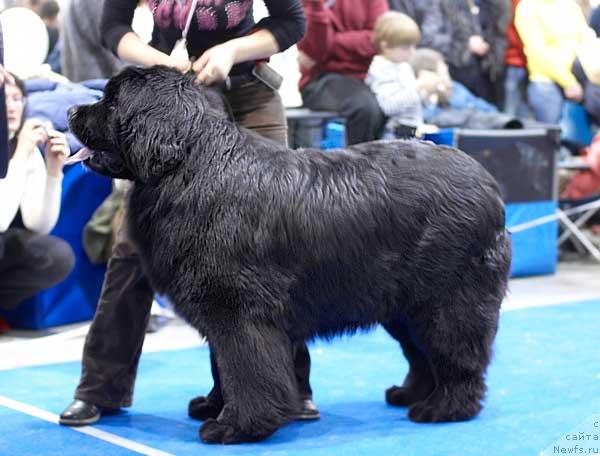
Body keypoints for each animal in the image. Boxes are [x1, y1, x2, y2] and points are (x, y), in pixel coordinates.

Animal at [69, 66, 510, 444]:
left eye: (111, 101)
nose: (72, 111)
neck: (187, 166)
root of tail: (487, 182)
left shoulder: (239, 312)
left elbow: (244, 368)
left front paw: (236, 426)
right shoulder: (218, 308)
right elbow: (221, 365)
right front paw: (213, 406)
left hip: (446, 299)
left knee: (458, 355)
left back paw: (444, 408)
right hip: (401, 305)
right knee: (421, 354)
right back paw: (409, 394)